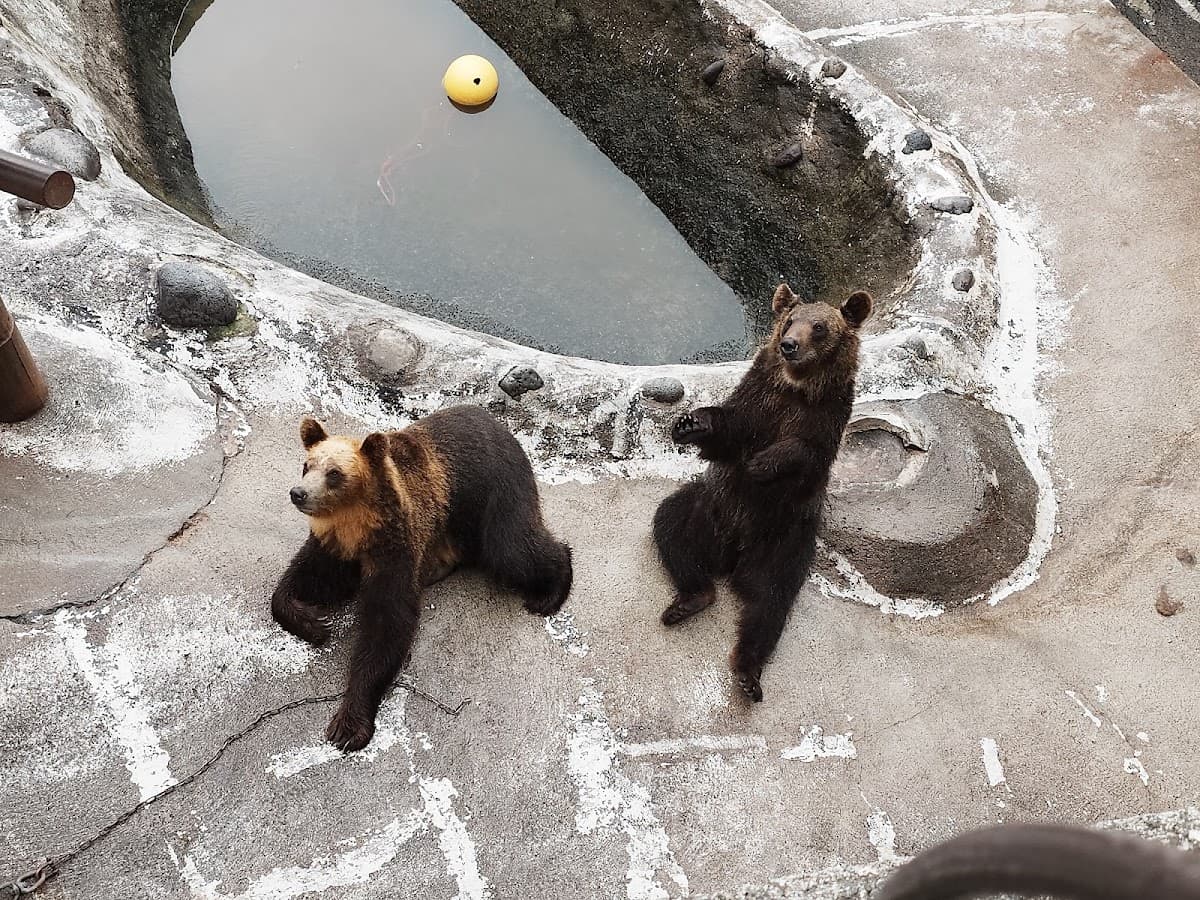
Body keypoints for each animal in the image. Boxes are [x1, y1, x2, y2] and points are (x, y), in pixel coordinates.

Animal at [271, 404, 573, 751]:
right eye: (307, 465)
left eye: (334, 473)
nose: (299, 493)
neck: (356, 526)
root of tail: (496, 421)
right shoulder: (334, 546)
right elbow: (306, 578)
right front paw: (313, 622)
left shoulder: (395, 547)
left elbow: (387, 624)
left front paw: (348, 726)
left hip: (491, 490)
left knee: (512, 547)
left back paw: (549, 592)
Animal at [652, 282, 872, 702]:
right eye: (790, 320)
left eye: (819, 326)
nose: (789, 345)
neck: (797, 387)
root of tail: (731, 556)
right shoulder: (757, 399)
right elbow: (728, 430)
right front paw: (690, 423)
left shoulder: (826, 420)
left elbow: (804, 453)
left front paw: (763, 463)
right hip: (710, 509)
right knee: (671, 527)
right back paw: (688, 600)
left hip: (784, 539)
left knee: (770, 603)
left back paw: (748, 672)